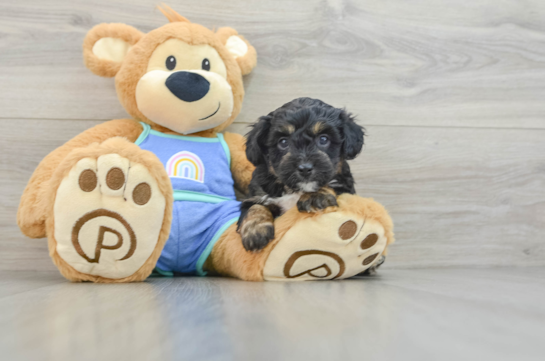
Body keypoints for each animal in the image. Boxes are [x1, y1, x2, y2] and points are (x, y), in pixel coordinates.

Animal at [238, 97, 366, 252]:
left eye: (323, 139)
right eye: (283, 142)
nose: (305, 168)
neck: (295, 189)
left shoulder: (346, 187)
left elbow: (331, 184)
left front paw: (315, 196)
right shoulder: (256, 192)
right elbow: (254, 206)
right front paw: (255, 232)